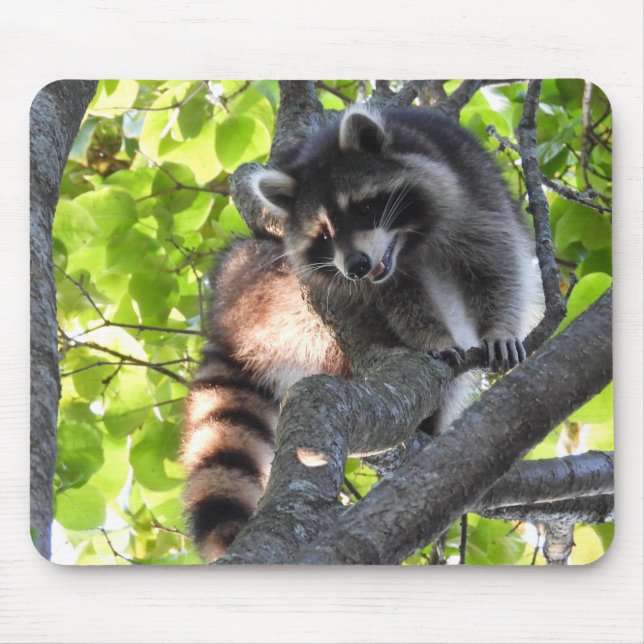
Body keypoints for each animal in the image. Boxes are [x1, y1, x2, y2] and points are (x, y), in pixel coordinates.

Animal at [182, 105, 539, 562]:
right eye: (324, 234)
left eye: (365, 208)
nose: (355, 265)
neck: (407, 242)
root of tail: (228, 309)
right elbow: (402, 301)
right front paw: (432, 336)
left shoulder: (472, 186)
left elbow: (498, 262)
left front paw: (500, 328)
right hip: (271, 290)